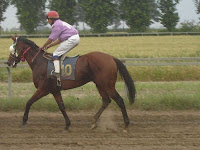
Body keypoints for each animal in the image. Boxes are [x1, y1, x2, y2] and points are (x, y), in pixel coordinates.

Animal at [7, 36, 137, 131]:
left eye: (13, 49)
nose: (8, 62)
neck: (39, 62)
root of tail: (111, 58)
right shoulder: (55, 90)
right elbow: (61, 106)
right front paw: (67, 124)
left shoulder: (43, 89)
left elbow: (29, 102)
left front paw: (24, 121)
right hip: (100, 84)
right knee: (106, 100)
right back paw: (94, 122)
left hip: (108, 85)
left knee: (119, 100)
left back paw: (126, 124)